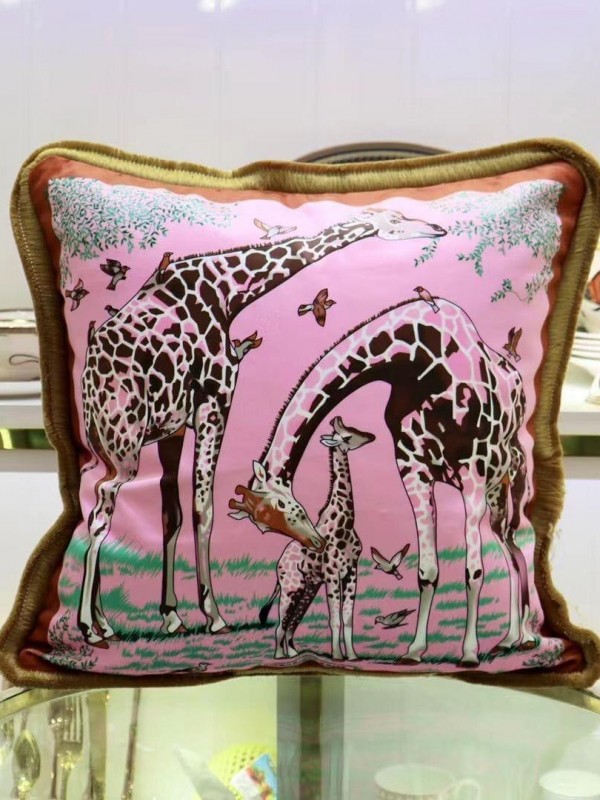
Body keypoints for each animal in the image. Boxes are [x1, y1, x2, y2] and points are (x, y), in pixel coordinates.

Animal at [259, 417, 374, 661]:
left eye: (354, 429)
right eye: (347, 437)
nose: (371, 436)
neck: (346, 523)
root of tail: (279, 562)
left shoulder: (352, 571)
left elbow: (348, 618)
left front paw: (353, 656)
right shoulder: (332, 573)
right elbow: (334, 619)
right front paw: (337, 656)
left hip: (308, 588)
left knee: (292, 622)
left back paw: (294, 653)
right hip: (291, 587)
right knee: (281, 623)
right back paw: (279, 656)